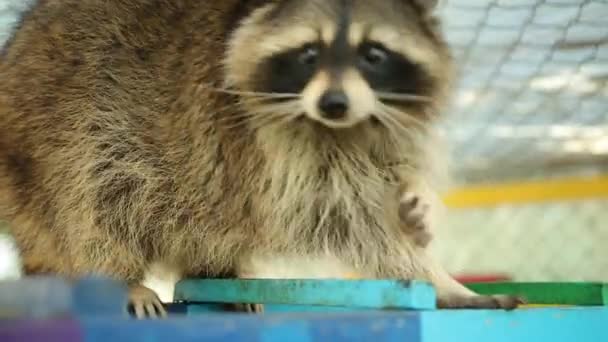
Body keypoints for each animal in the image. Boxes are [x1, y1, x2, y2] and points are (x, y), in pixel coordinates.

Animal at [1, 0, 524, 318]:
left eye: (373, 54)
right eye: (308, 52)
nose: (334, 103)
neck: (343, 126)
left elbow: (392, 178)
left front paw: (418, 206)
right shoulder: (259, 146)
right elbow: (349, 220)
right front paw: (436, 278)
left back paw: (218, 272)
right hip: (54, 128)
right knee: (93, 195)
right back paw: (118, 276)